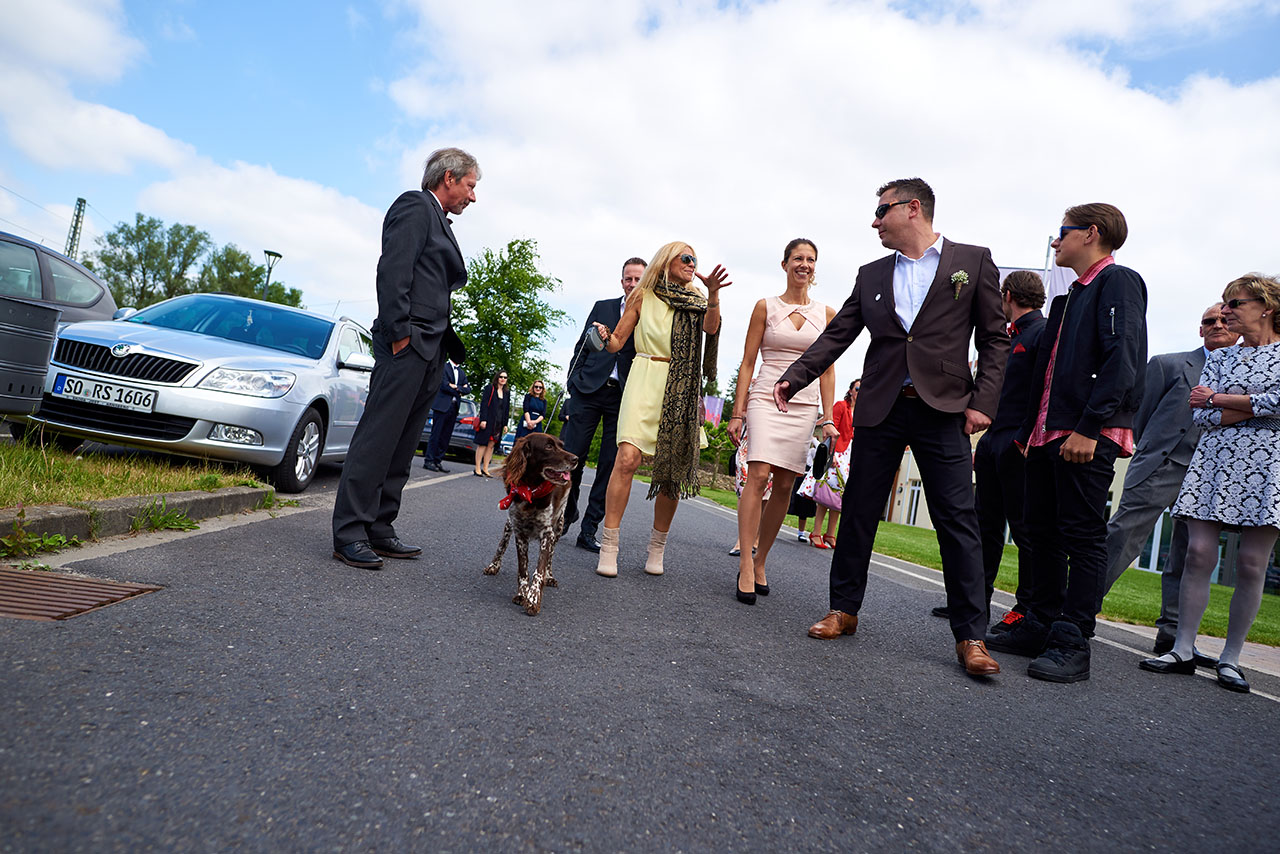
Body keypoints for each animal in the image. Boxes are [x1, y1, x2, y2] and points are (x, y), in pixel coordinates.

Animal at [481, 435, 578, 614]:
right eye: (548, 446)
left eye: (561, 446)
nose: (576, 459)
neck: (531, 490)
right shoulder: (519, 532)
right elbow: (523, 569)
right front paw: (522, 594)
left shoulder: (547, 534)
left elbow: (539, 570)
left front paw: (533, 598)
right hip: (509, 524)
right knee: (502, 544)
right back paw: (493, 565)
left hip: (559, 526)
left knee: (551, 557)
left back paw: (550, 576)